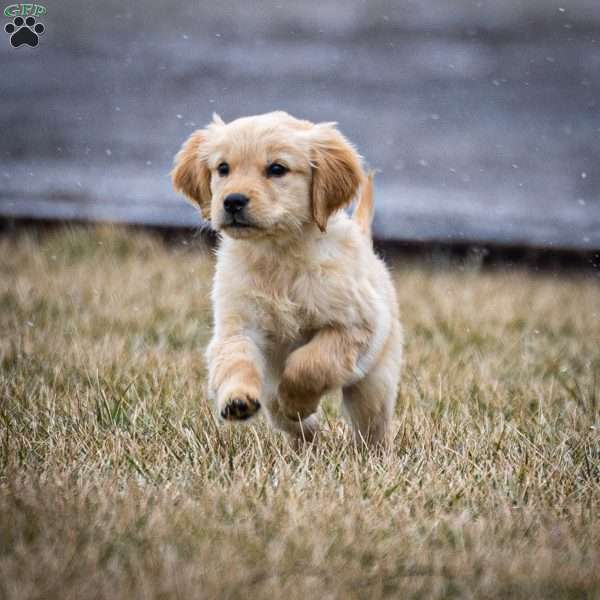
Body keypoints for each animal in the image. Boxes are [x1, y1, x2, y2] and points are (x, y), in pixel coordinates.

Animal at [171, 111, 404, 446]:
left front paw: (296, 400)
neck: (279, 255)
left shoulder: (356, 326)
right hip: (271, 394)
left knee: (372, 426)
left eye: (277, 169)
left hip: (374, 383)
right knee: (290, 422)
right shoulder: (238, 324)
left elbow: (311, 362)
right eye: (223, 168)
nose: (233, 201)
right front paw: (237, 399)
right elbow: (235, 358)